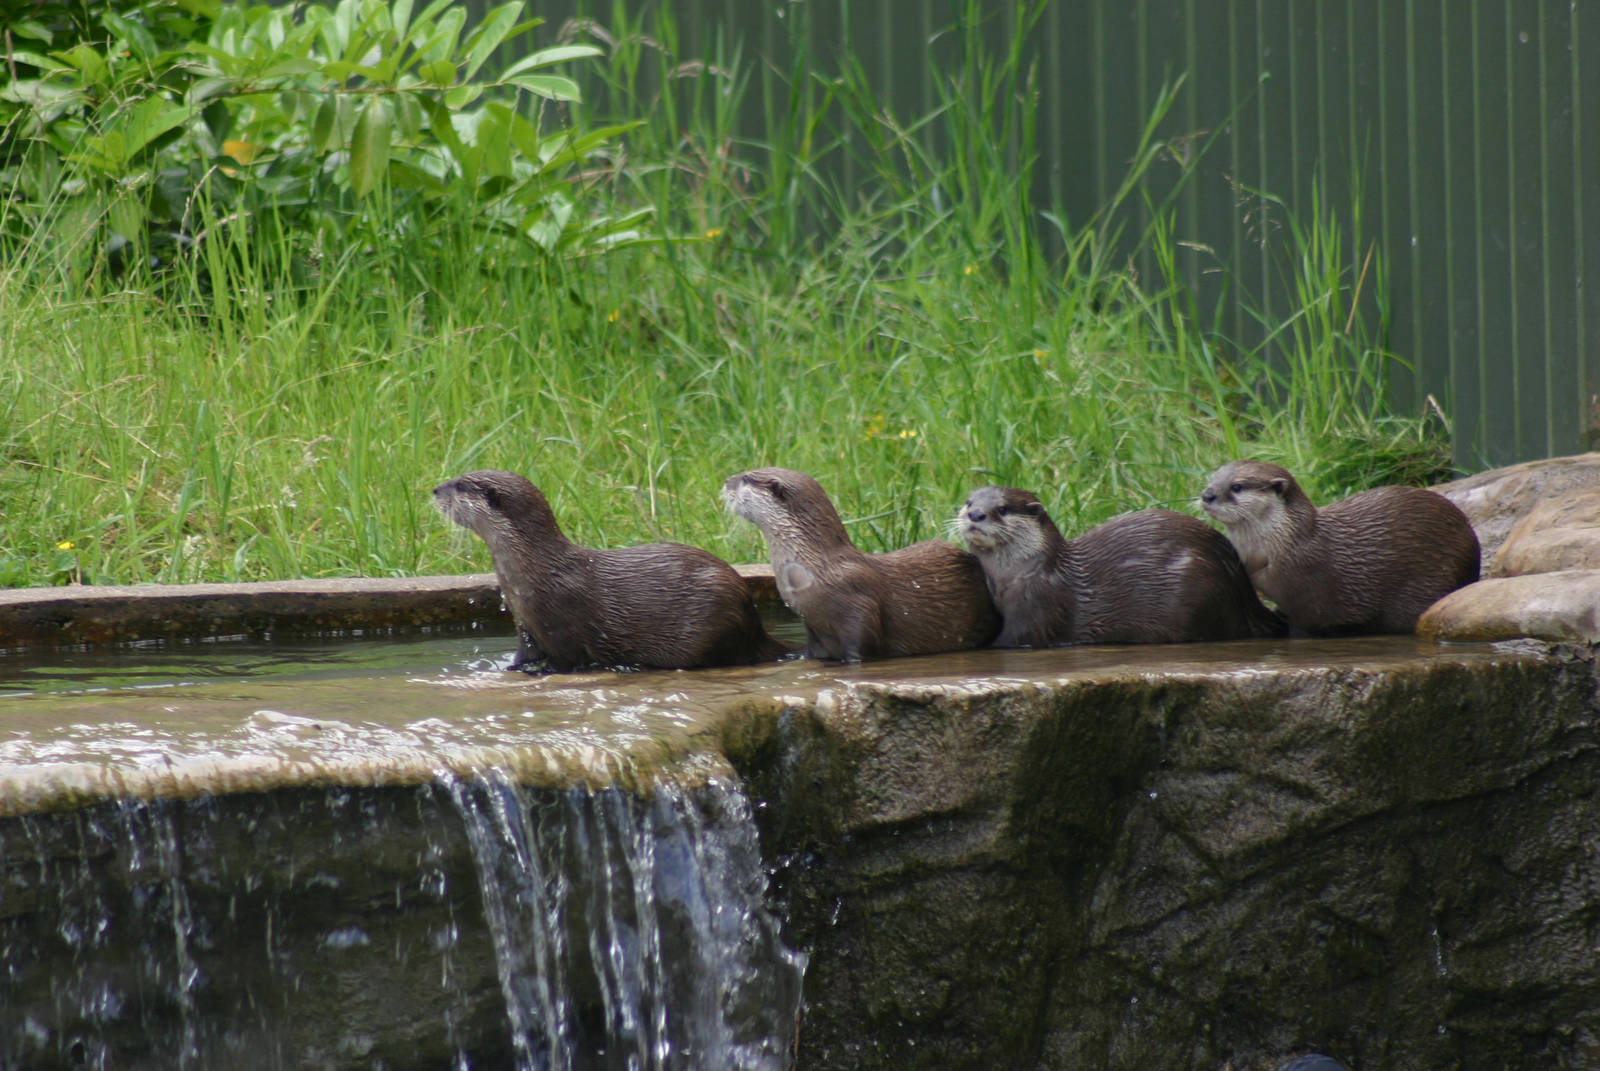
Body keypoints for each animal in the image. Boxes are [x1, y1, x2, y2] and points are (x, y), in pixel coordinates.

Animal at [434, 470, 790, 672]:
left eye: (460, 486)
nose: (435, 490)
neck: (534, 572)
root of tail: (754, 622)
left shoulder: (564, 626)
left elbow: (567, 661)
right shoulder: (526, 627)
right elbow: (524, 655)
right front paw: (512, 669)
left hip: (716, 617)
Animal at [723, 467, 999, 662]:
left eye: (746, 477)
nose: (726, 481)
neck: (812, 569)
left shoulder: (858, 607)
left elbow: (861, 649)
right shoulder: (811, 625)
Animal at [957, 485, 1285, 647]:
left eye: (1001, 509)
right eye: (969, 501)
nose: (975, 514)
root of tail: (1243, 592)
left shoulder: (1038, 609)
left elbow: (1009, 640)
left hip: (1201, 588)